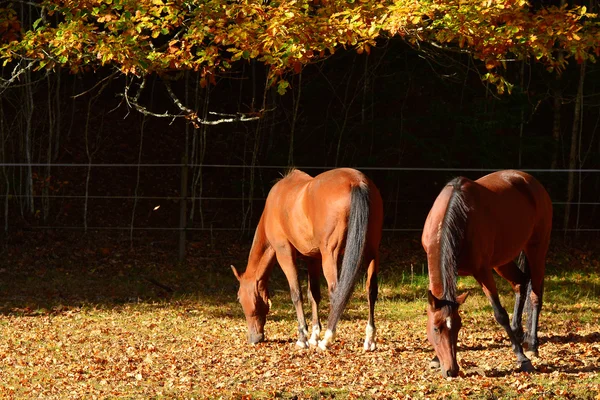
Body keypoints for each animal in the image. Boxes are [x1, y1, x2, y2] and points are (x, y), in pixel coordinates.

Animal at [232, 167, 382, 352]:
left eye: (240, 298)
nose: (254, 338)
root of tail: (356, 182)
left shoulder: (284, 253)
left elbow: (296, 293)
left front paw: (303, 337)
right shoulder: (313, 259)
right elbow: (314, 294)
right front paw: (314, 336)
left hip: (331, 256)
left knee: (336, 292)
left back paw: (327, 339)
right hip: (371, 252)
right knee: (371, 290)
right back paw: (369, 340)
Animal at [422, 170, 552, 376]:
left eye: (458, 326)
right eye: (436, 328)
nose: (452, 370)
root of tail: (530, 181)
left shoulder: (482, 271)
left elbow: (500, 314)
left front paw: (522, 358)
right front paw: (436, 358)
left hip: (536, 251)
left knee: (535, 295)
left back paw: (532, 344)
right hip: (503, 260)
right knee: (520, 283)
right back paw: (517, 330)